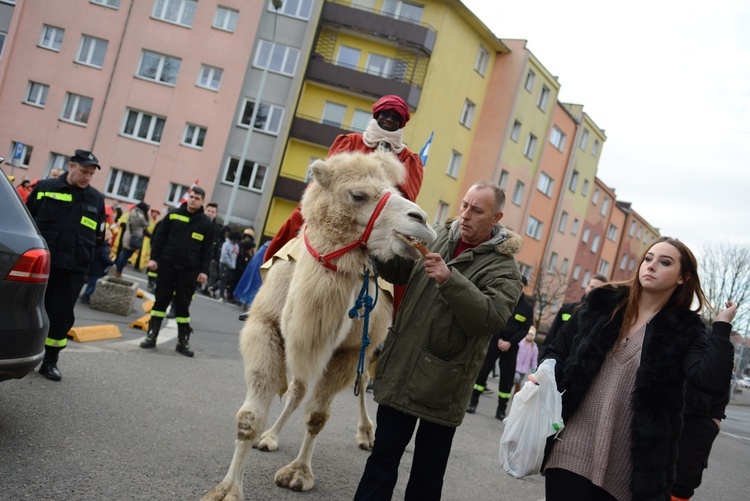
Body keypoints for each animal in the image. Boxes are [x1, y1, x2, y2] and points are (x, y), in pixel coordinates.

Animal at [204, 150, 440, 498]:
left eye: (398, 191)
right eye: (358, 195)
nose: (421, 221)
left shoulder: (348, 350)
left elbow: (317, 416)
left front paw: (298, 473)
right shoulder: (266, 327)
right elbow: (250, 417)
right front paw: (227, 489)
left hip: (370, 347)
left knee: (361, 381)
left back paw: (366, 434)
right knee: (298, 388)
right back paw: (270, 437)